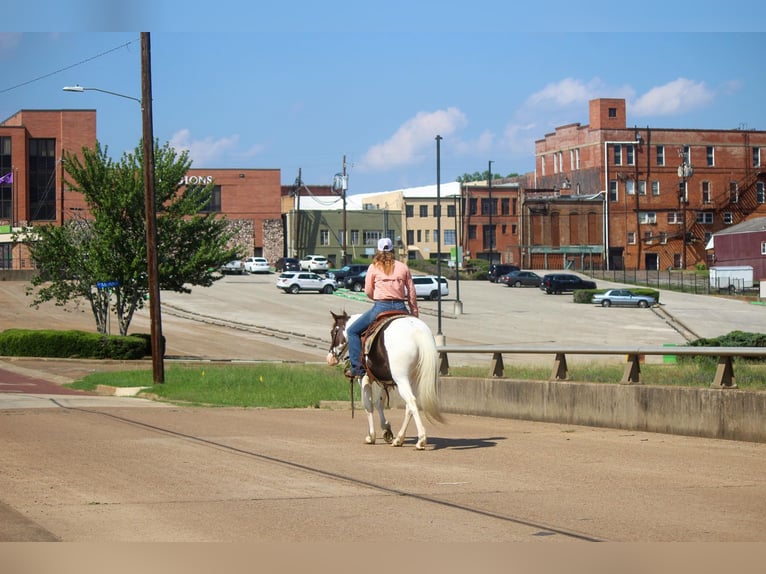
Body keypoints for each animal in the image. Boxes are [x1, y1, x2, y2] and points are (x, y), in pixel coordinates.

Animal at [328, 310, 444, 450]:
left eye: (333, 332)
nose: (330, 358)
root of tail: (417, 331)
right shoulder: (385, 382)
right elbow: (379, 403)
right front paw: (386, 429)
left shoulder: (364, 378)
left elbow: (368, 405)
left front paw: (371, 436)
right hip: (413, 379)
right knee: (409, 406)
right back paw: (399, 439)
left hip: (401, 379)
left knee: (411, 401)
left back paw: (421, 439)